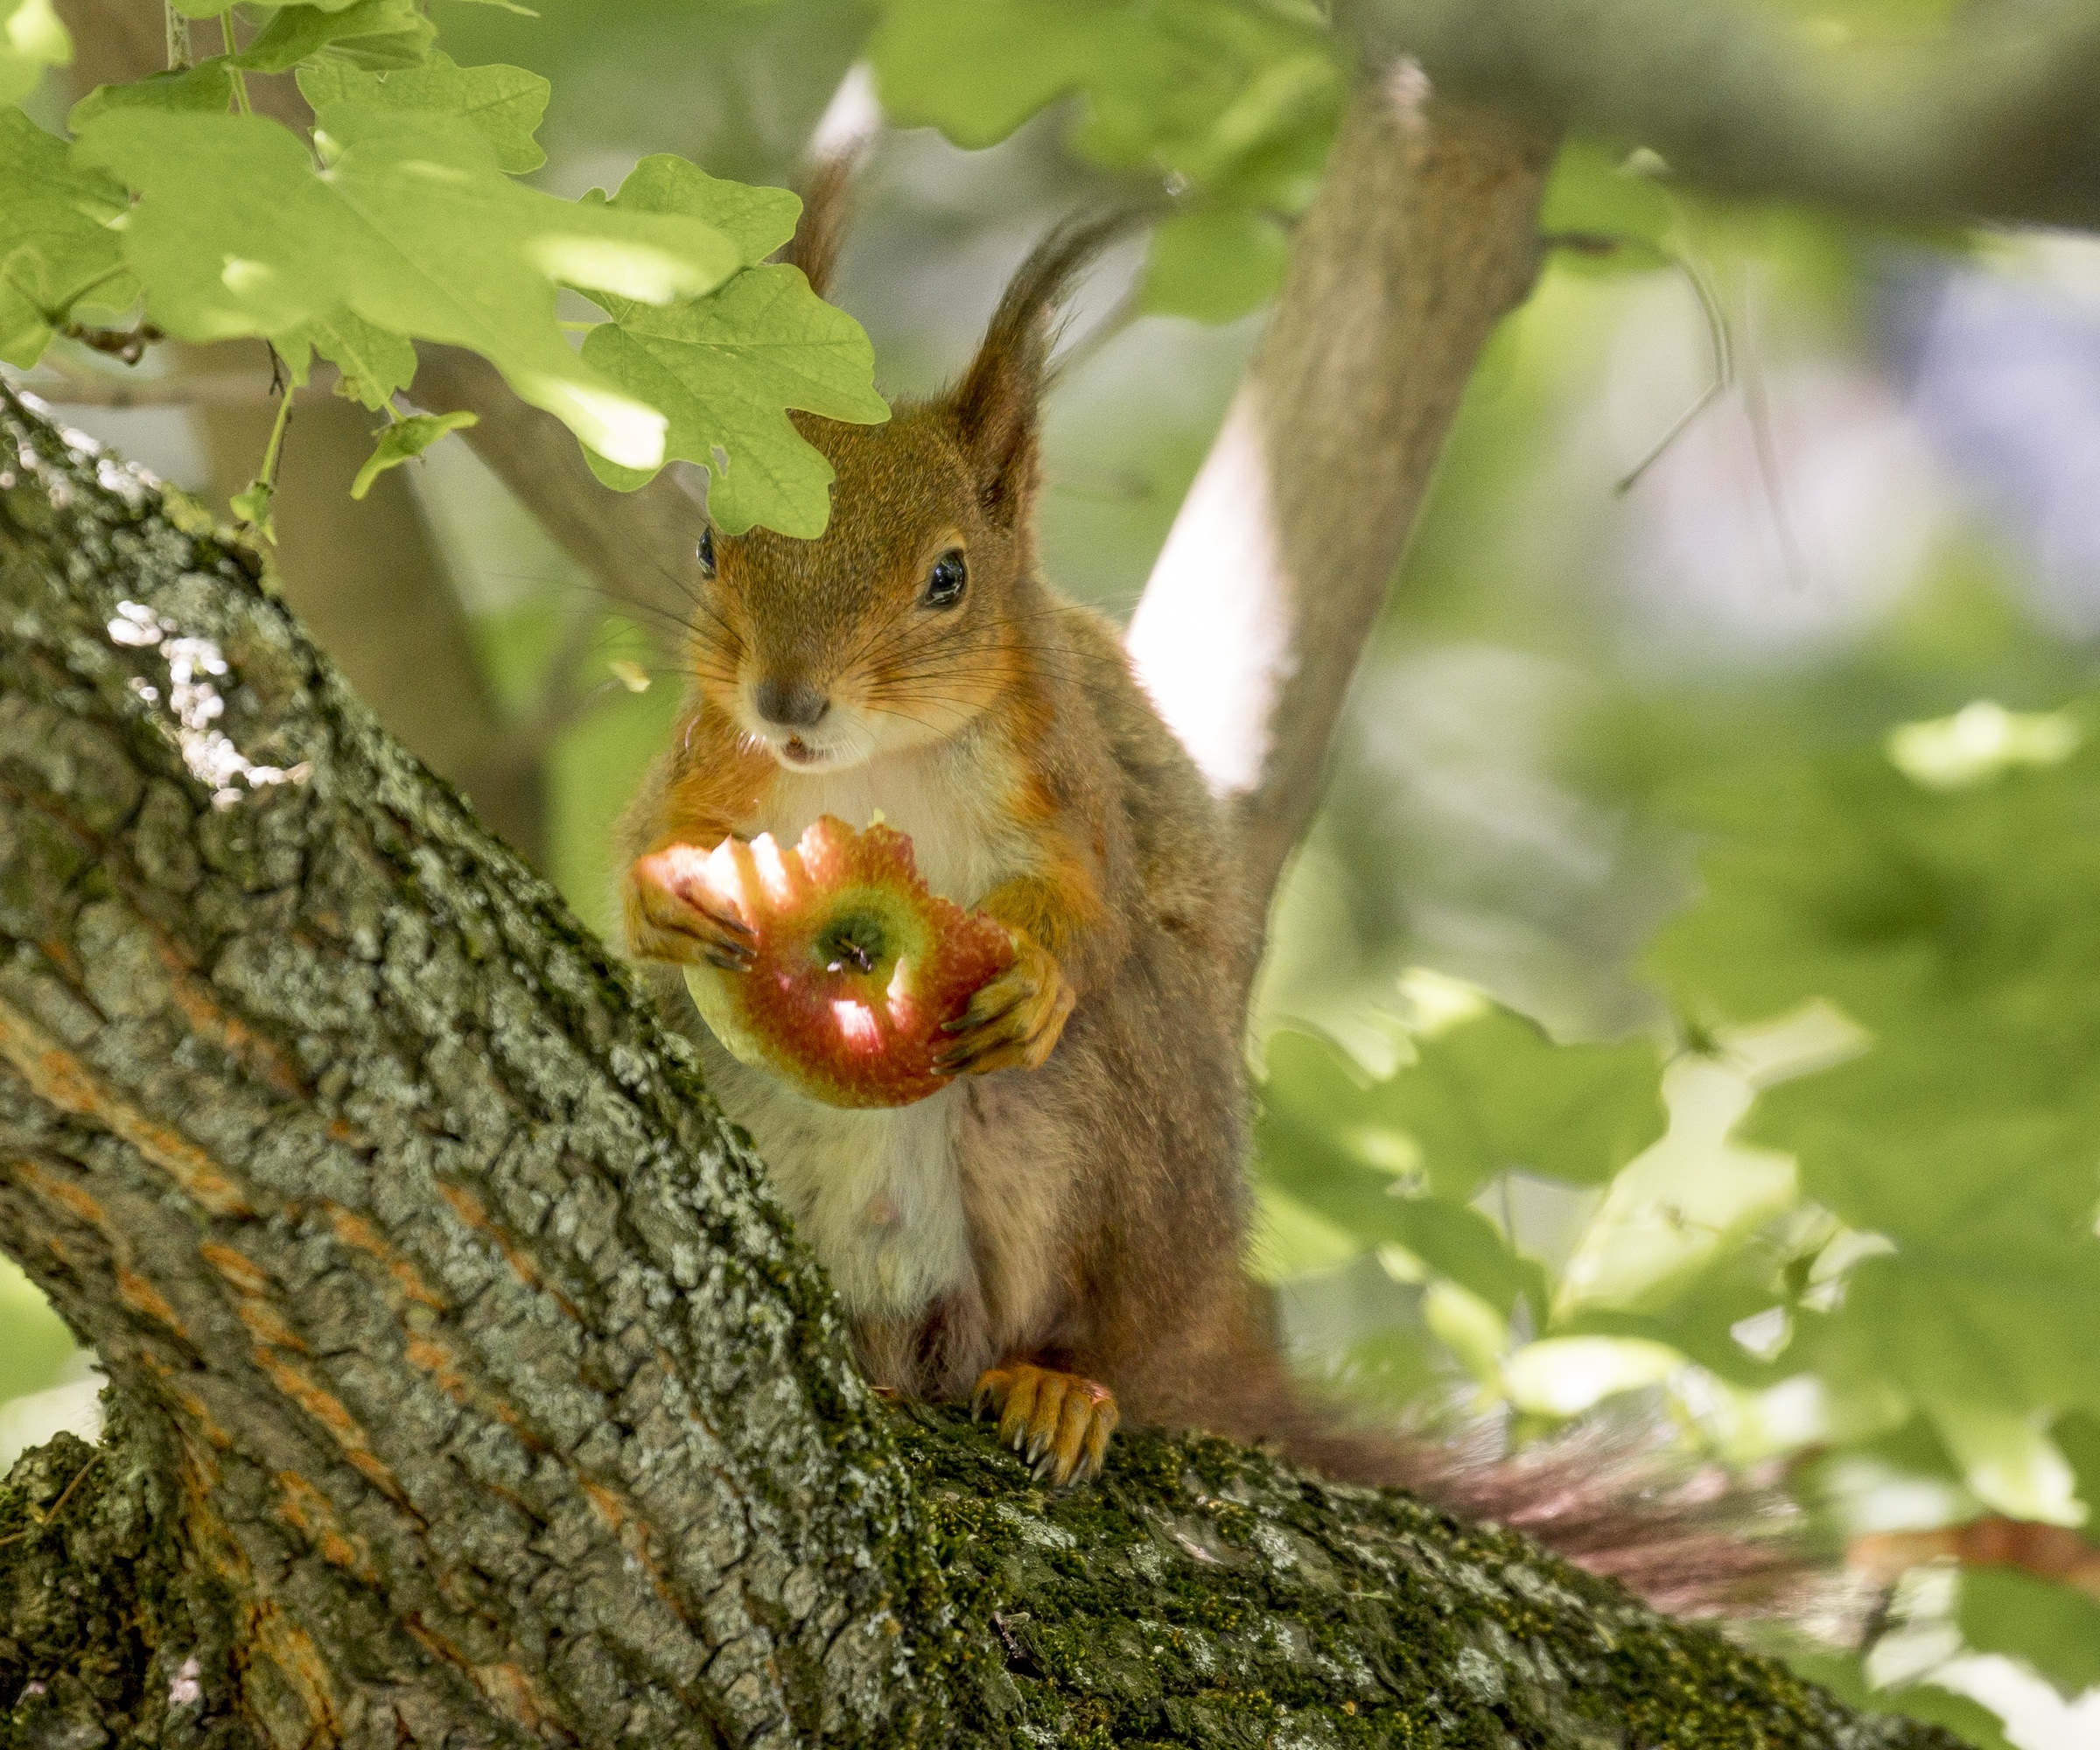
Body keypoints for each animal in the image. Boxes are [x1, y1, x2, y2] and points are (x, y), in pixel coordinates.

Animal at [618, 180, 1792, 1614]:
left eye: (950, 576)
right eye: (709, 542)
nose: (789, 701)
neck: (871, 764)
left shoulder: (1066, 780)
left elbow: (1097, 905)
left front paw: (1038, 977)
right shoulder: (709, 760)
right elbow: (644, 849)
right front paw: (665, 897)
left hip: (1124, 1155)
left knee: (1092, 1301)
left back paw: (1061, 1386)